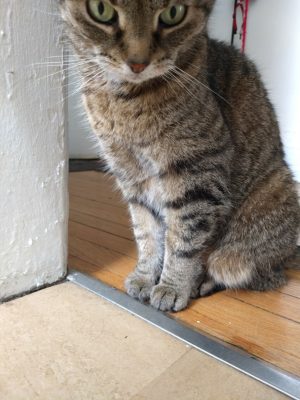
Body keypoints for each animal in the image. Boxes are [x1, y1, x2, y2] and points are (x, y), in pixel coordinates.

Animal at [59, 0, 300, 310]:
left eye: (173, 14)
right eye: (102, 11)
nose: (138, 63)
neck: (123, 98)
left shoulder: (198, 172)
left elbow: (184, 239)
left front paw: (171, 286)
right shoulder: (130, 175)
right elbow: (147, 232)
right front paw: (145, 276)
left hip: (261, 214)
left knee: (255, 273)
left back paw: (203, 281)